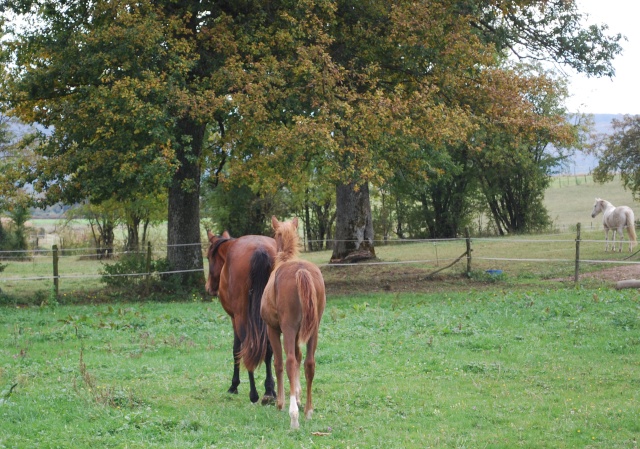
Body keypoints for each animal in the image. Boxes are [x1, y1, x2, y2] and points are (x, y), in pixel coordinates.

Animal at [205, 231, 276, 402]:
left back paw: (254, 394)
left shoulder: (233, 318)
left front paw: (234, 385)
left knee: (248, 347)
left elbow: (236, 349)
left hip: (241, 318)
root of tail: (260, 250)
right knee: (269, 348)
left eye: (208, 258)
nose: (208, 287)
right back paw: (269, 391)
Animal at [258, 216, 324, 428]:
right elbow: (300, 358)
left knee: (288, 362)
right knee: (309, 364)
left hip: (287, 329)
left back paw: (293, 416)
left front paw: (281, 402)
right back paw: (308, 411)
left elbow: (279, 363)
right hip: (313, 331)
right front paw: (299, 394)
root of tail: (301, 270)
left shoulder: (273, 329)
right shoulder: (298, 335)